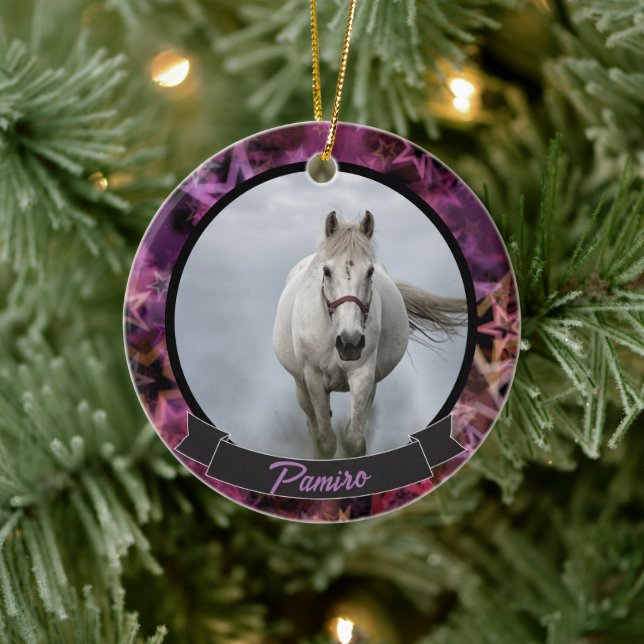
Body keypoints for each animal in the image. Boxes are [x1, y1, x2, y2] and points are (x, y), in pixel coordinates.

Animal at [272, 211, 466, 458]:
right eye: (326, 271)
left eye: (370, 271)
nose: (350, 342)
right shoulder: (313, 378)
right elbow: (325, 441)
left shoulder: (363, 375)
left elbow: (354, 440)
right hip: (301, 386)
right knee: (313, 426)